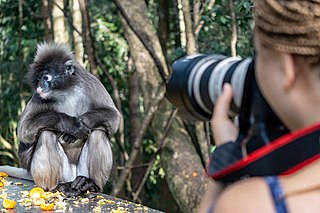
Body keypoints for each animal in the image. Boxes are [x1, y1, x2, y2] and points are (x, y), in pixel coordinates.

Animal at [6, 43, 121, 196]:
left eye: (46, 77)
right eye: (38, 79)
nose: (40, 86)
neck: (65, 91)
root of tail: (72, 177)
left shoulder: (91, 82)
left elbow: (114, 116)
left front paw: (83, 122)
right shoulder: (39, 96)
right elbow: (24, 130)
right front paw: (71, 125)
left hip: (79, 170)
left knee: (98, 132)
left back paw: (90, 184)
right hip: (60, 173)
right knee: (46, 133)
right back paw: (57, 186)